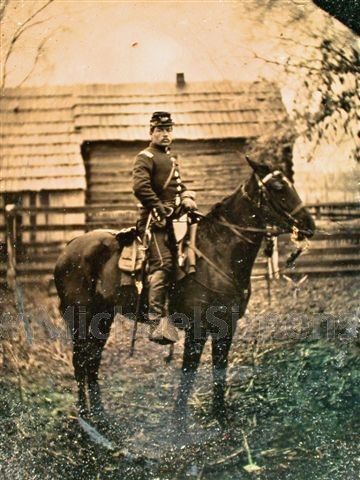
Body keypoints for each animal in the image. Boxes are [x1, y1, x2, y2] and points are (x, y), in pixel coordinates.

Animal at [53, 160, 316, 424]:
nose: (310, 226)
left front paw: (220, 416)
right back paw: (85, 418)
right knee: (80, 362)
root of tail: (70, 247)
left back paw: (101, 416)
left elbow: (219, 369)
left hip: (103, 318)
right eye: (278, 187)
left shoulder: (227, 326)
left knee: (92, 361)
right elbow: (189, 371)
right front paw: (180, 421)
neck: (217, 252)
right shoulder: (197, 328)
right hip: (81, 318)